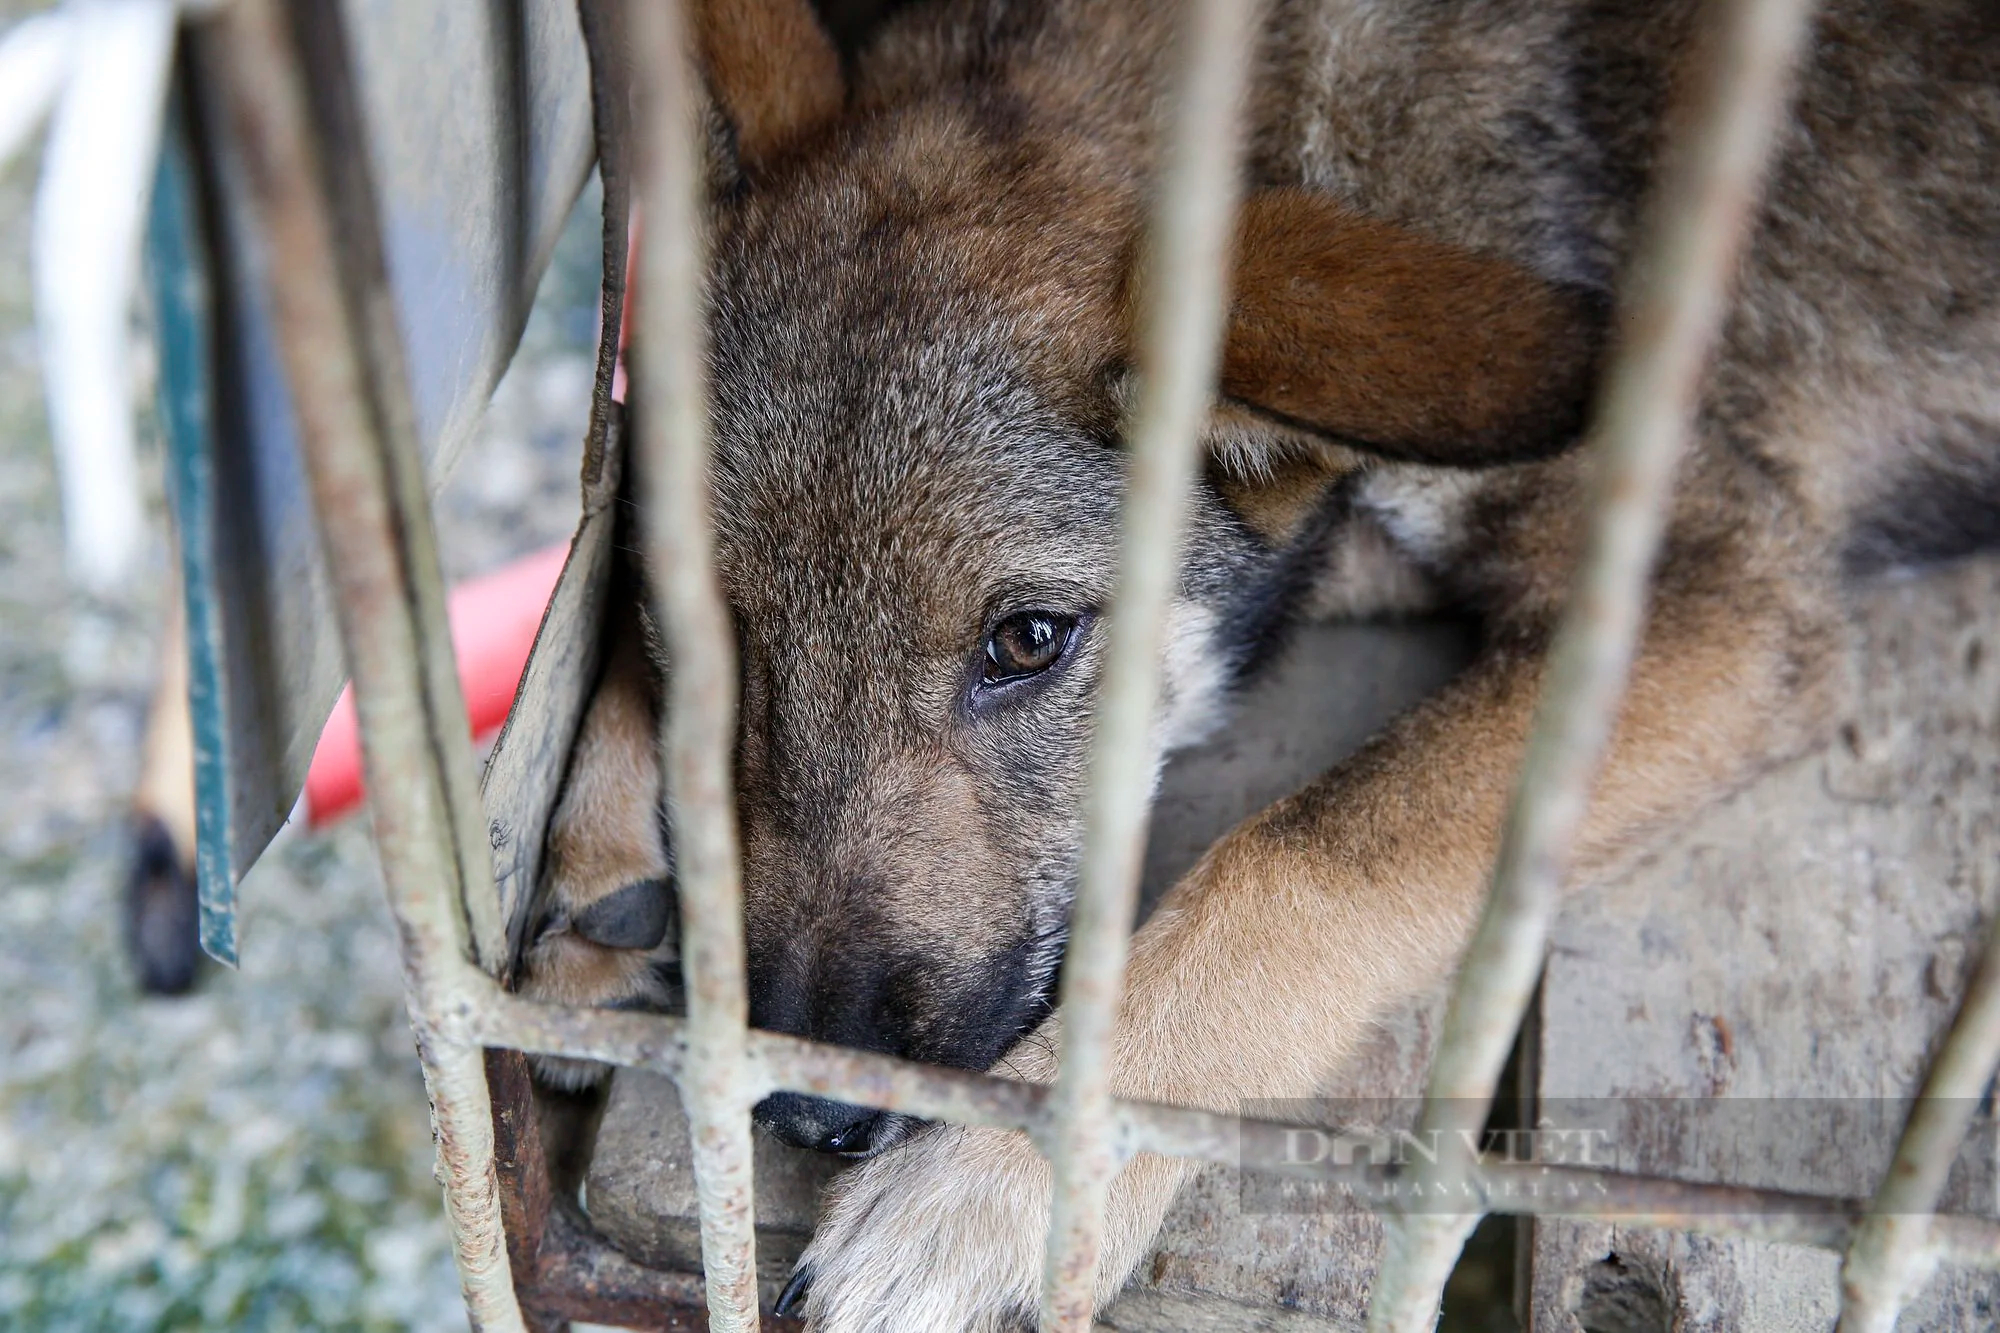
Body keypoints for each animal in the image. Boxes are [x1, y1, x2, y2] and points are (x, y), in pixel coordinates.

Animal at [516, 2, 2000, 1328]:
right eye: (711, 633)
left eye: (1028, 642)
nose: (809, 1106)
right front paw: (603, 832)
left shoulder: (1704, 596)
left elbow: (1302, 856)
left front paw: (1004, 1179)